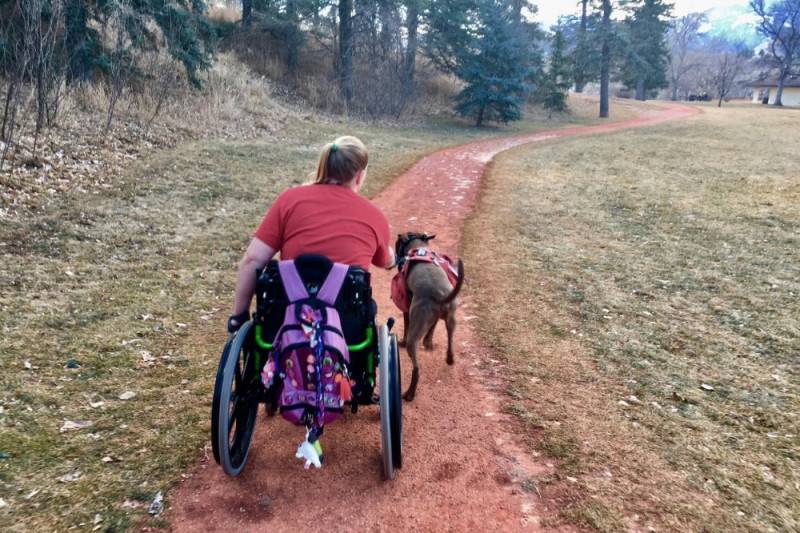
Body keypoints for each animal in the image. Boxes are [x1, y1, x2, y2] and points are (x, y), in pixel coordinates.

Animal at [392, 231, 462, 402]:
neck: (418, 248)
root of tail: (440, 294)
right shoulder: (433, 319)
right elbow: (433, 327)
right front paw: (428, 343)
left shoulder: (406, 308)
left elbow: (406, 326)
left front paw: (401, 342)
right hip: (452, 319)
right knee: (450, 341)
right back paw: (450, 359)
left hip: (414, 337)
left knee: (416, 369)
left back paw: (409, 394)